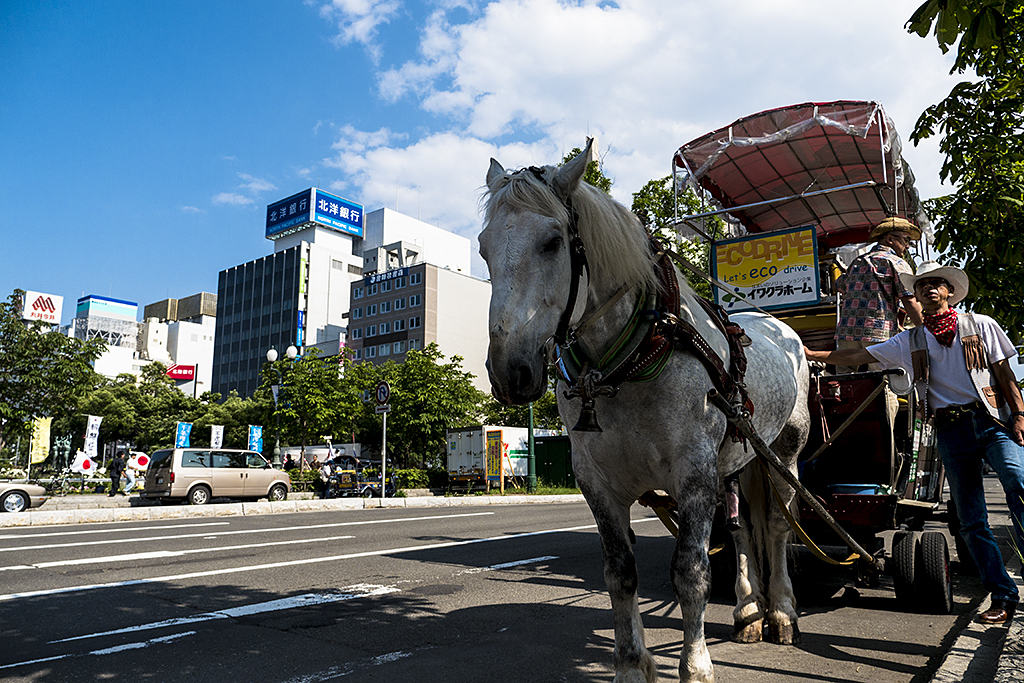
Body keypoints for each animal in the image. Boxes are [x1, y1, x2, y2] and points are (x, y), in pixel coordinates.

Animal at [477, 141, 806, 679]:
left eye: (552, 243)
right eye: (484, 248)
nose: (510, 371)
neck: (626, 362)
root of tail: (774, 323)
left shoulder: (693, 473)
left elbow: (691, 574)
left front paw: (695, 665)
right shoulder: (596, 480)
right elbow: (619, 574)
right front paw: (632, 664)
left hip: (783, 451)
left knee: (777, 524)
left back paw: (780, 611)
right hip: (736, 456)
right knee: (741, 531)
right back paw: (748, 609)